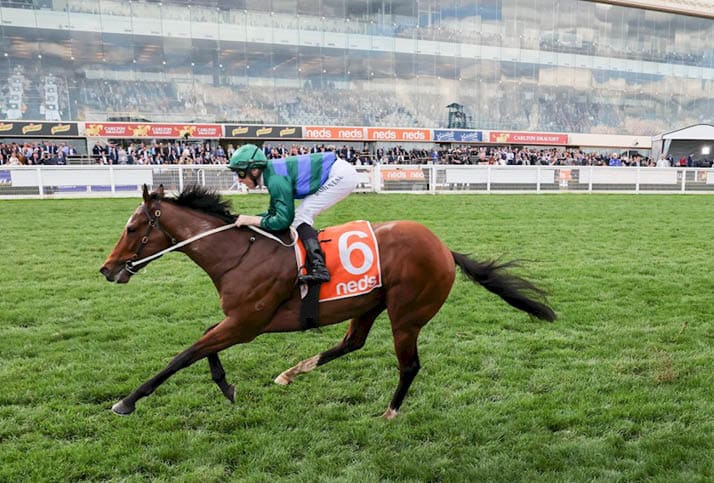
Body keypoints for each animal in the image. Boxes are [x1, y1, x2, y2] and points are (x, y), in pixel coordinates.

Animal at [98, 185, 556, 420]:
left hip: (407, 314)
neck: (239, 253)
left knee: (409, 365)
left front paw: (127, 401)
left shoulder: (247, 323)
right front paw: (226, 386)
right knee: (351, 343)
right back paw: (290, 373)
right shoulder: (241, 321)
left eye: (133, 227)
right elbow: (204, 342)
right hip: (368, 304)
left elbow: (185, 354)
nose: (107, 269)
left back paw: (389, 414)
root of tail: (444, 249)